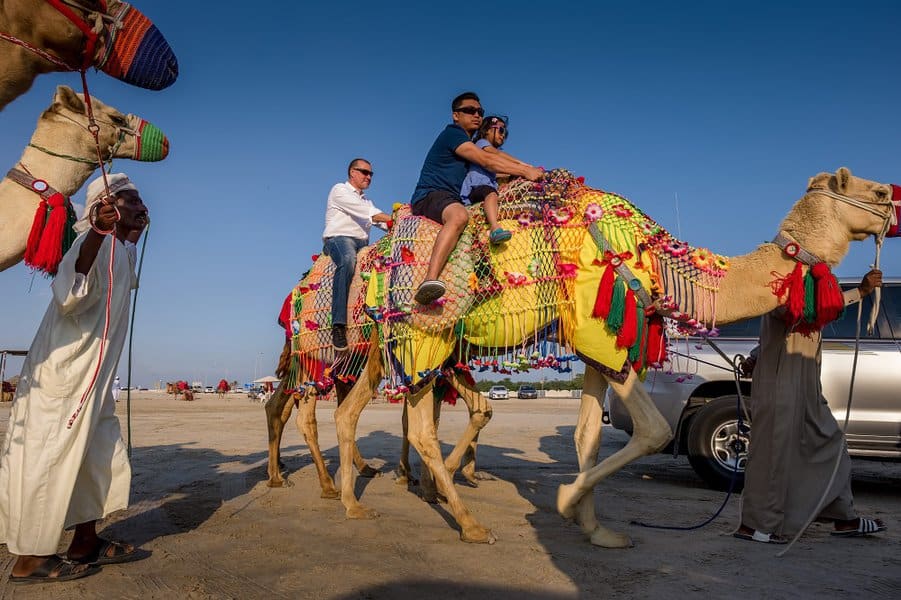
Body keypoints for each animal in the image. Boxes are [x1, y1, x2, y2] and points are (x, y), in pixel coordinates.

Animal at [319, 168, 895, 546]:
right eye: (877, 190)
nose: (895, 207)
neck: (652, 255)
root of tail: (378, 256)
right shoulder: (602, 334)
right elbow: (653, 432)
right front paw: (565, 502)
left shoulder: (597, 352)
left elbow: (587, 436)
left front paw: (596, 529)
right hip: (424, 337)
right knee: (417, 427)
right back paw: (470, 524)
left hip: (391, 346)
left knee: (353, 412)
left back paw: (354, 504)